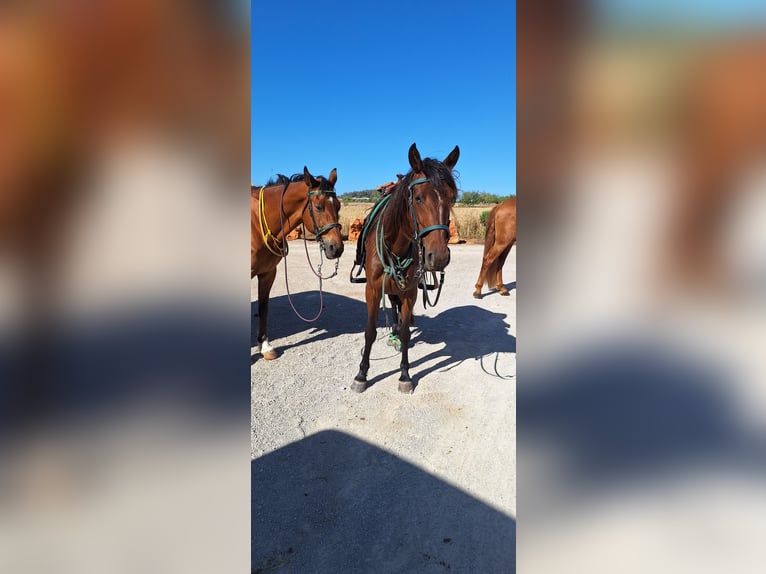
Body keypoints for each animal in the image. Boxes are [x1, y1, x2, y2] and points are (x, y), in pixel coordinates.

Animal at [251, 167, 344, 360]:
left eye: (338, 206)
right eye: (318, 207)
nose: (336, 248)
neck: (255, 223)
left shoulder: (267, 273)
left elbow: (263, 308)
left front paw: (264, 346)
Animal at [352, 143, 460, 394]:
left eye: (452, 198)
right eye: (418, 198)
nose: (439, 257)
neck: (395, 245)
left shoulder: (409, 291)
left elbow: (405, 331)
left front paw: (404, 374)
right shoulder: (372, 290)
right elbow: (369, 332)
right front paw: (362, 374)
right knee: (392, 305)